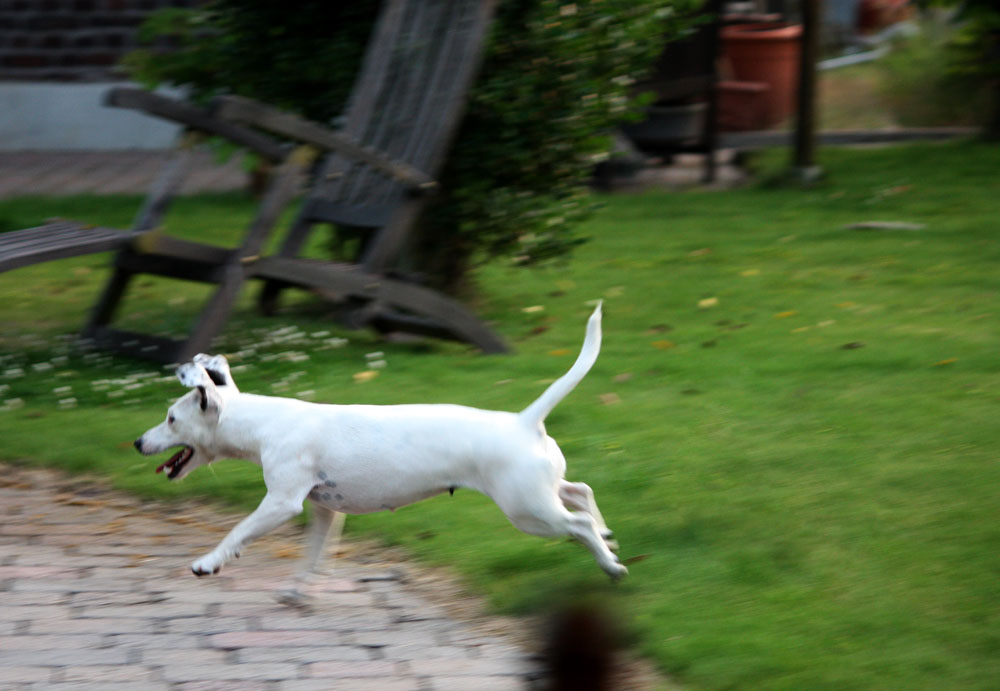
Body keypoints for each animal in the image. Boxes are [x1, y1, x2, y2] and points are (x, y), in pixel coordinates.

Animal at [135, 304, 624, 596]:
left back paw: (611, 565)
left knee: (577, 522)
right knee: (580, 491)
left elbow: (237, 532)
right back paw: (608, 537)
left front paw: (208, 563)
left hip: (528, 511)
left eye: (171, 418)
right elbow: (315, 552)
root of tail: (525, 420)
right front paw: (299, 589)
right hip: (540, 494)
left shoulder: (280, 503)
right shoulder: (325, 510)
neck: (265, 423)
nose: (138, 442)